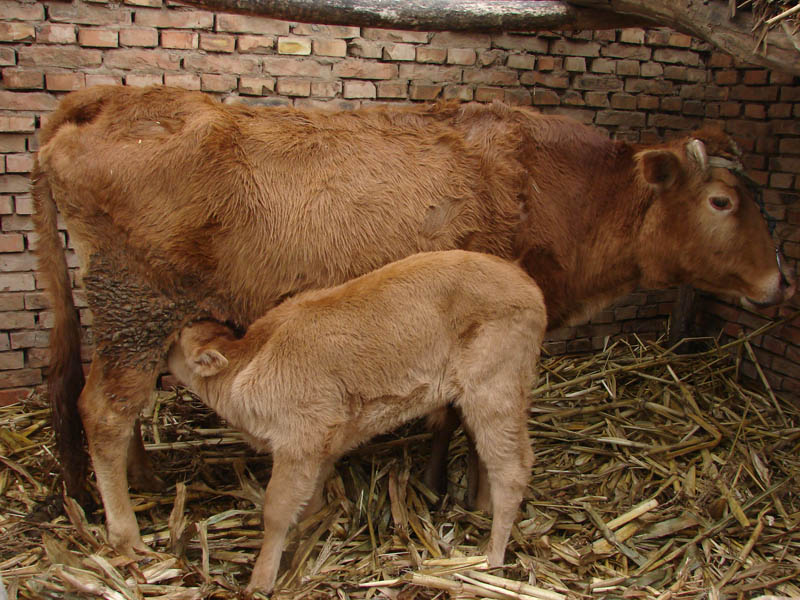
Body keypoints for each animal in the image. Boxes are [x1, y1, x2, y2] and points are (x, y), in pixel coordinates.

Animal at [166, 251, 548, 592]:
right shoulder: (326, 442)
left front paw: (260, 582)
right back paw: (481, 509)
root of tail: (530, 287)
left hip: (496, 386)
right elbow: (311, 500)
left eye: (175, 343)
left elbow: (276, 510)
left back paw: (492, 559)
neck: (251, 362)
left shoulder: (300, 439)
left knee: (512, 468)